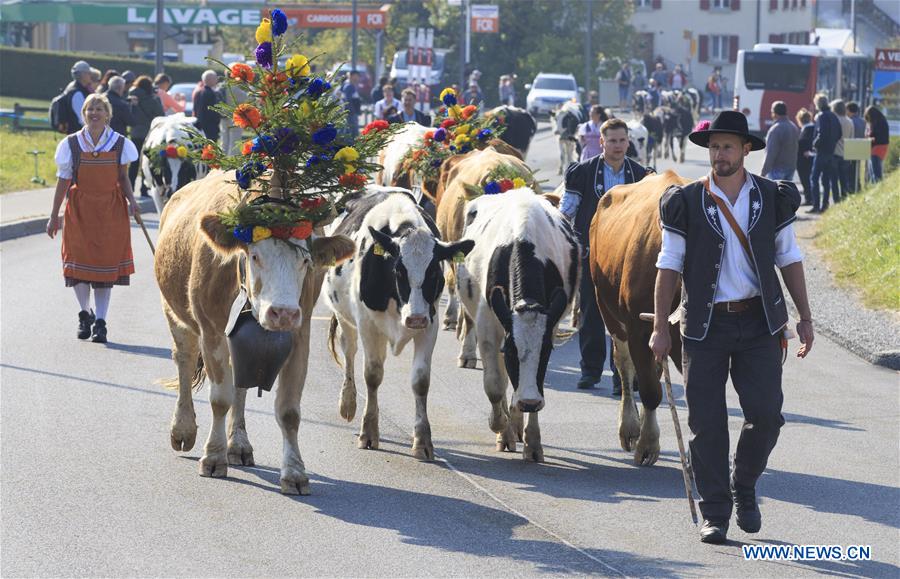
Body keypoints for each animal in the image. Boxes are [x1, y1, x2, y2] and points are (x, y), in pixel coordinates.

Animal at [153, 171, 354, 494]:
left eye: (305, 260)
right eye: (256, 256)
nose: (282, 312)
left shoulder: (301, 332)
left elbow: (288, 410)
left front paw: (294, 472)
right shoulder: (211, 329)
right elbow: (219, 398)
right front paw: (213, 457)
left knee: (239, 383)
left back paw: (239, 444)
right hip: (174, 313)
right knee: (184, 359)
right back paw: (183, 429)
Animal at [326, 188, 478, 460]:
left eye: (434, 273)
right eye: (398, 271)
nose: (415, 318)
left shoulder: (430, 325)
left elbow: (420, 381)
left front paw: (423, 441)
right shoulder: (367, 324)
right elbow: (372, 374)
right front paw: (368, 432)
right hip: (345, 319)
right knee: (349, 352)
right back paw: (348, 403)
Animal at [458, 189, 576, 462]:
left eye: (547, 352)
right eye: (511, 351)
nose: (529, 402)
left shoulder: (551, 324)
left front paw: (532, 442)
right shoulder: (489, 326)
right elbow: (494, 384)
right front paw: (500, 426)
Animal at [588, 169, 684, 466]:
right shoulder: (638, 329)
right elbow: (651, 391)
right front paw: (647, 444)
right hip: (607, 309)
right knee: (625, 366)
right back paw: (630, 428)